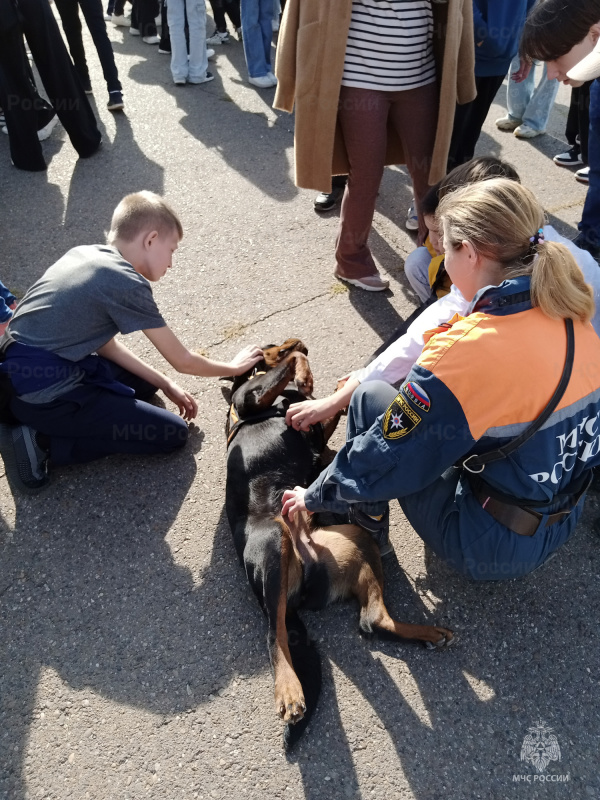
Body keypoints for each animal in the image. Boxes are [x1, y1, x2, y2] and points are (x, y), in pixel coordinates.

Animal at [223, 338, 452, 752]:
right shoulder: (253, 398)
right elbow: (288, 363)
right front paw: (301, 368)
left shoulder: (312, 427)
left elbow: (319, 400)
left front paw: (311, 379)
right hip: (273, 544)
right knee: (274, 634)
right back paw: (289, 691)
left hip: (356, 542)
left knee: (371, 621)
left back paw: (426, 634)